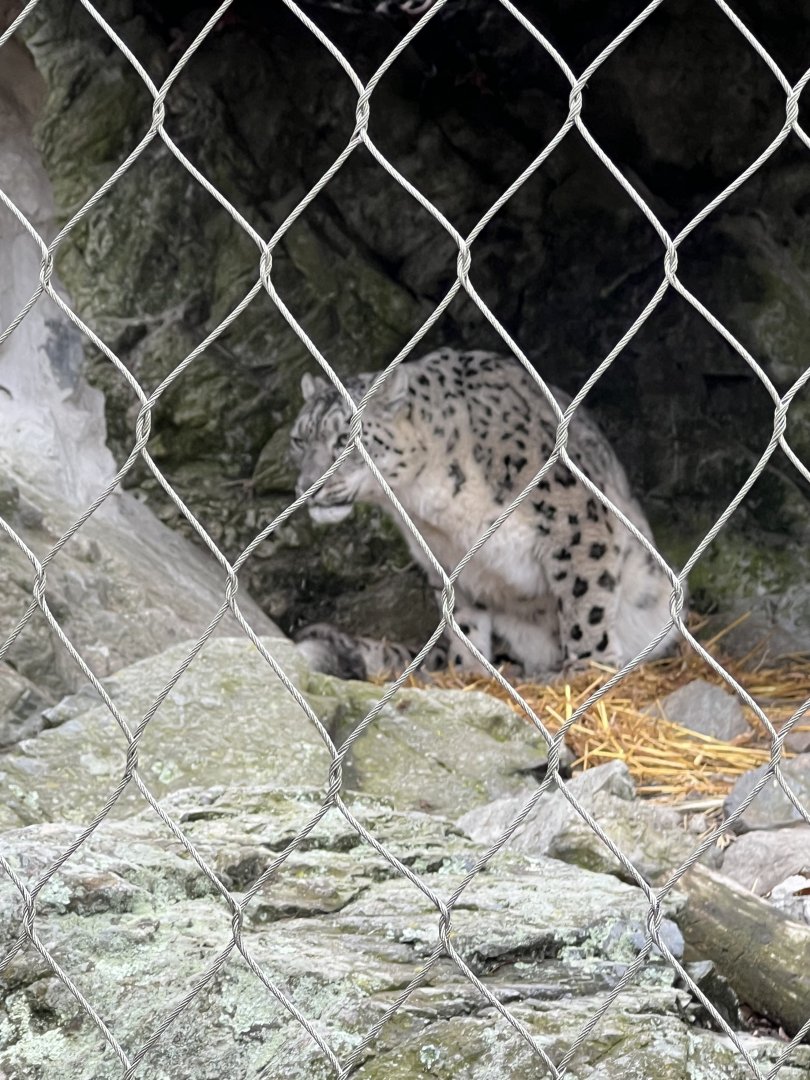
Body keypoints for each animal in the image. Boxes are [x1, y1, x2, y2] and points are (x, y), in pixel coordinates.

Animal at [288, 348, 682, 680]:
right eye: (298, 440)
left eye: (345, 439)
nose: (308, 485)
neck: (430, 501)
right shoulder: (447, 558)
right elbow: (463, 618)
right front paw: (467, 671)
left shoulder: (573, 518)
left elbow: (583, 598)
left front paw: (588, 667)